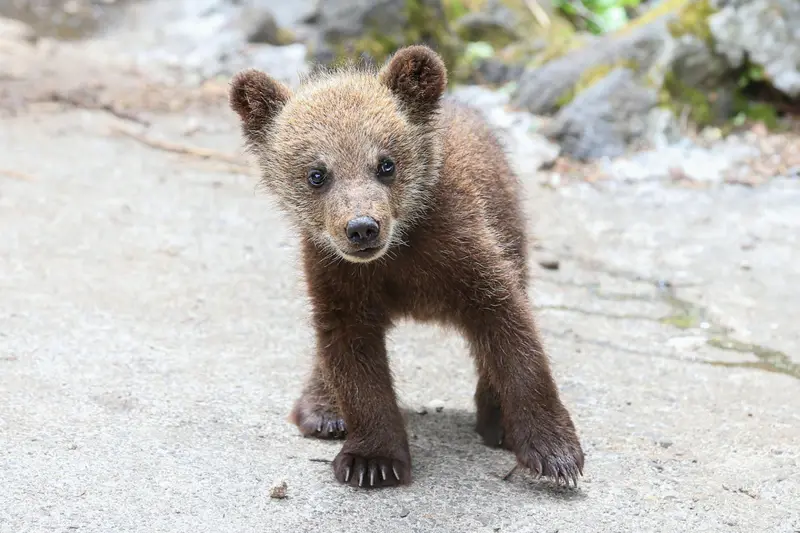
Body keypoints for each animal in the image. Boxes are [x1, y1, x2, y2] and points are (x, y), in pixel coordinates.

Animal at [229, 45, 584, 489]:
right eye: (316, 174)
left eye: (386, 163)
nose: (362, 227)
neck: (399, 254)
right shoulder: (340, 277)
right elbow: (352, 357)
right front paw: (372, 460)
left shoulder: (464, 253)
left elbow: (512, 333)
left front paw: (554, 453)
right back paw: (322, 409)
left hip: (510, 225)